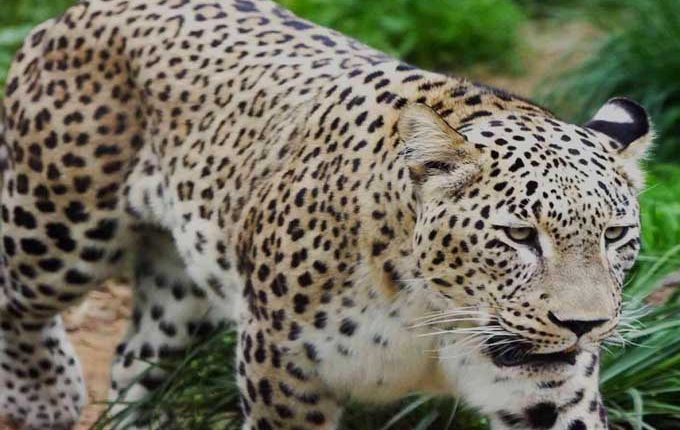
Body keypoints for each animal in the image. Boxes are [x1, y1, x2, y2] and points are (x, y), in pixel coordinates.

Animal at [0, 0, 653, 429]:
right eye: (520, 235)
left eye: (616, 235)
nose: (585, 325)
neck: (435, 313)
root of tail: (80, 10)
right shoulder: (281, 372)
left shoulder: (550, 391)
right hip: (56, 229)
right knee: (16, 302)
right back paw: (46, 396)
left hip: (181, 287)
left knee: (133, 359)